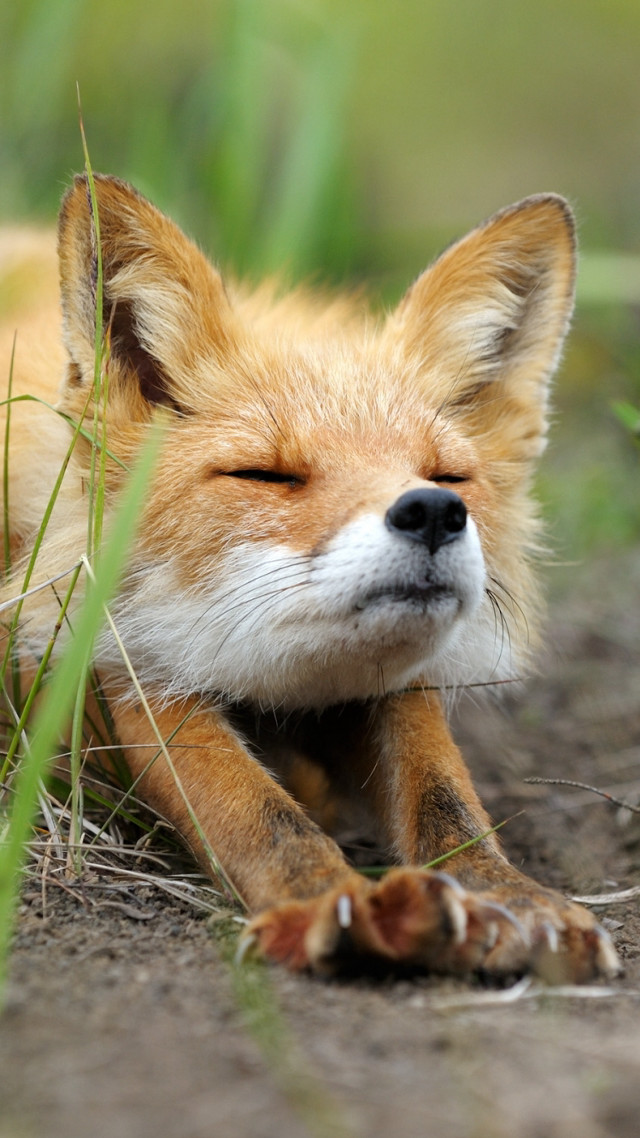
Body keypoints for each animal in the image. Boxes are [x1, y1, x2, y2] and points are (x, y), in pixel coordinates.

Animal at [0, 175, 621, 982]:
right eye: (267, 474)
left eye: (446, 476)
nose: (432, 512)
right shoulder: (105, 653)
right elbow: (244, 802)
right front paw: (331, 903)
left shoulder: (396, 684)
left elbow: (442, 791)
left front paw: (508, 893)